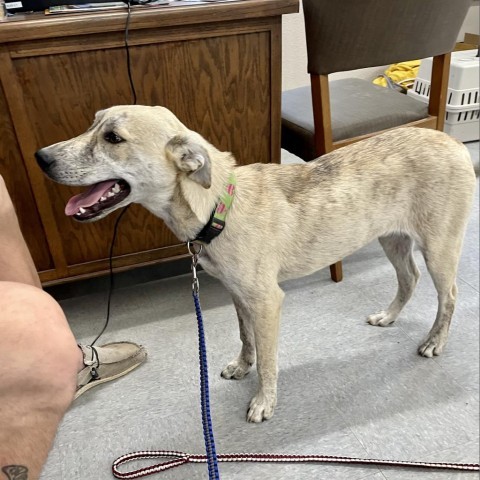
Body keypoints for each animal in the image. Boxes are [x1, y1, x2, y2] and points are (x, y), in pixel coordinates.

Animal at [35, 107, 478, 422]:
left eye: (113, 138)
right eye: (91, 124)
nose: (40, 157)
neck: (217, 205)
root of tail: (454, 144)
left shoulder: (267, 301)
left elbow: (268, 360)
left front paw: (264, 402)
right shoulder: (239, 295)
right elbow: (246, 339)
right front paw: (241, 366)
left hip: (439, 247)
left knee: (450, 295)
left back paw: (435, 341)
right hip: (392, 237)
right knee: (409, 278)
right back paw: (389, 316)